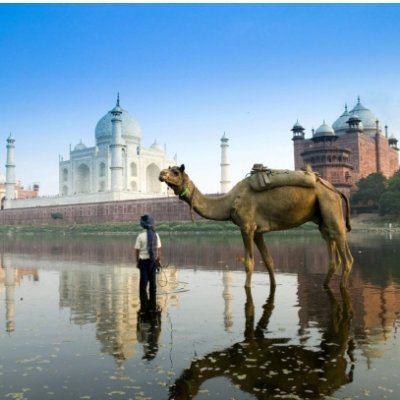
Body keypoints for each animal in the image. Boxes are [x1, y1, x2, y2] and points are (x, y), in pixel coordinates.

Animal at [159, 164, 354, 290]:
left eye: (175, 172)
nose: (161, 174)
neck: (229, 202)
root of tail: (336, 190)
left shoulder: (246, 226)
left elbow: (249, 263)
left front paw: (246, 287)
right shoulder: (258, 231)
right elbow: (268, 261)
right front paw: (274, 285)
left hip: (331, 206)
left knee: (346, 254)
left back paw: (343, 287)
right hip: (322, 218)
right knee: (331, 248)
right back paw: (325, 285)